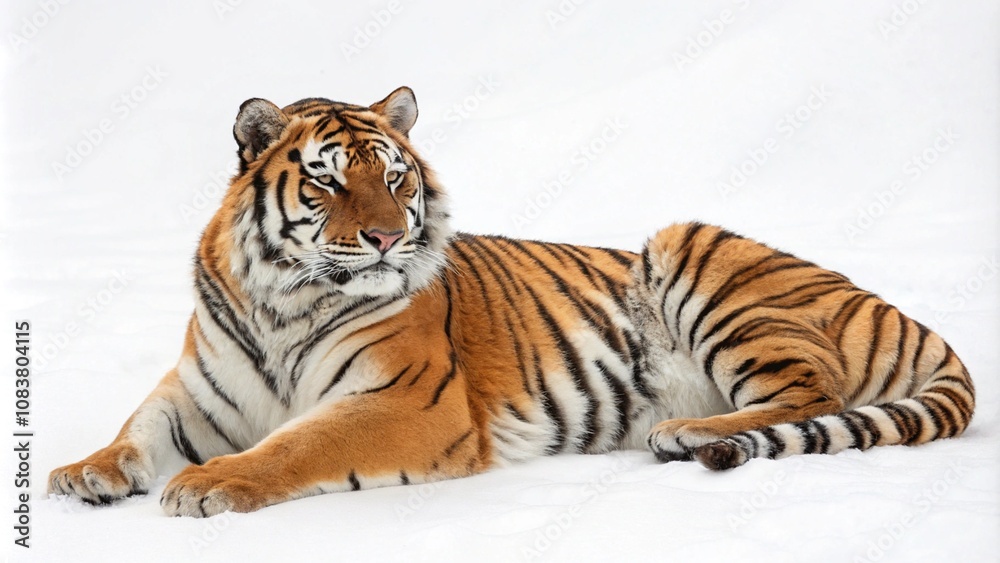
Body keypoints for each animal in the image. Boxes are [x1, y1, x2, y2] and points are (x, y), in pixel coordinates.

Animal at [48, 87, 975, 518]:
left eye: (395, 179)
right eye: (329, 181)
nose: (386, 237)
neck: (285, 299)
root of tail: (893, 307)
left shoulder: (407, 400)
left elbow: (295, 444)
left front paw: (210, 483)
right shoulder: (199, 391)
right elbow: (136, 431)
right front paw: (82, 471)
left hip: (695, 248)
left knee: (811, 393)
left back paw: (682, 431)